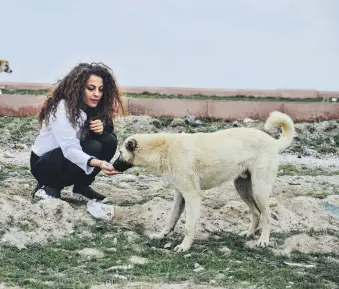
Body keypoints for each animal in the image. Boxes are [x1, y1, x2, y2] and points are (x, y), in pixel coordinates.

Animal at [113, 111, 294, 251]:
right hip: (243, 188)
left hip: (259, 190)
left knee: (267, 216)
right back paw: (249, 234)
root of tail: (273, 142)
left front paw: (184, 246)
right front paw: (161, 235)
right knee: (256, 213)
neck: (163, 149)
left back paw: (263, 240)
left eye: (120, 153)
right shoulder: (180, 195)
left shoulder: (192, 195)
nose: (112, 165)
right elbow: (171, 218)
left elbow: (189, 226)